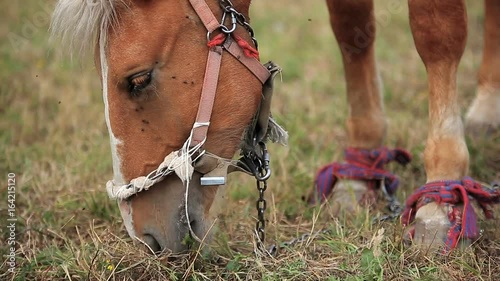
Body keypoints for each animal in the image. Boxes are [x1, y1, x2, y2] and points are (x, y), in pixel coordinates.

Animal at [50, 0, 500, 253]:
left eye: (138, 79)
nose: (145, 237)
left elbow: (436, 32)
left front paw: (440, 195)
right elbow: (351, 26)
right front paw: (360, 167)